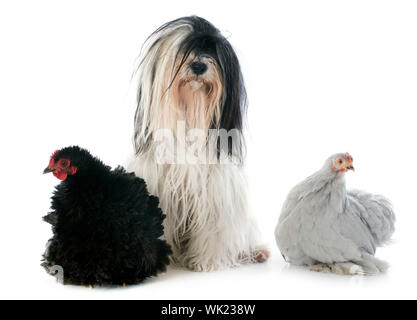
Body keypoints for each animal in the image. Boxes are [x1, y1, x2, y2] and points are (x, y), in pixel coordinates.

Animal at [127, 16, 268, 272]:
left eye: (213, 51)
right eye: (185, 50)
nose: (199, 66)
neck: (190, 115)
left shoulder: (216, 191)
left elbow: (213, 229)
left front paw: (208, 262)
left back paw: (255, 252)